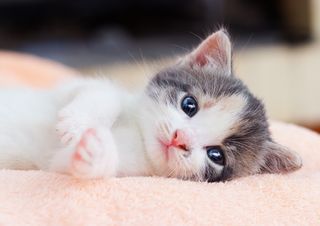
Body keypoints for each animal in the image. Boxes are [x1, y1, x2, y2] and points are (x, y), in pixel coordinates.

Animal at [0, 30, 302, 182]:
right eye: (189, 105)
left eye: (216, 155)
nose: (180, 138)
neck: (138, 134)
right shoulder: (66, 88)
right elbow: (101, 91)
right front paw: (77, 122)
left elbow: (69, 164)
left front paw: (95, 150)